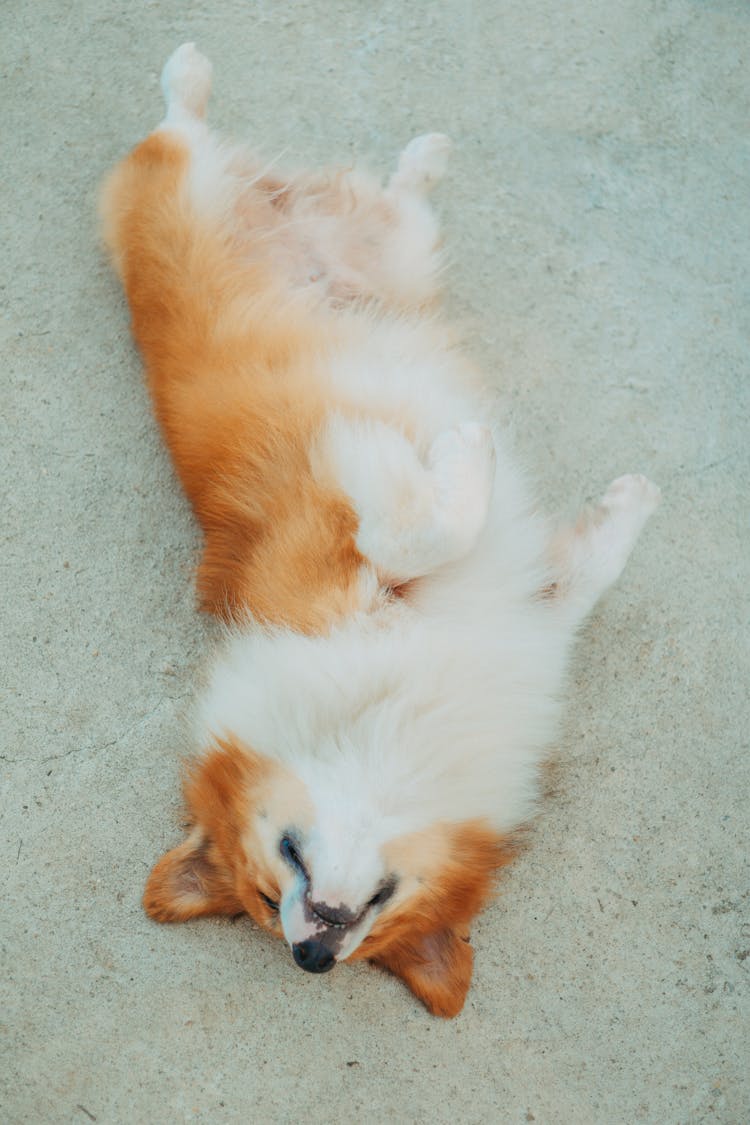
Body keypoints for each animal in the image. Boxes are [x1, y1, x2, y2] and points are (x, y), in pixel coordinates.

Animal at [102, 43, 661, 1017]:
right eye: (263, 899)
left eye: (377, 936)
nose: (310, 957)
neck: (384, 709)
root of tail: (285, 206)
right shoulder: (330, 566)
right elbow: (421, 523)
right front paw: (460, 458)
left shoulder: (520, 604)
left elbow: (576, 567)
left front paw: (621, 498)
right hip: (188, 192)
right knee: (178, 129)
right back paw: (194, 72)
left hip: (390, 252)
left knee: (363, 186)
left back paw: (420, 151)